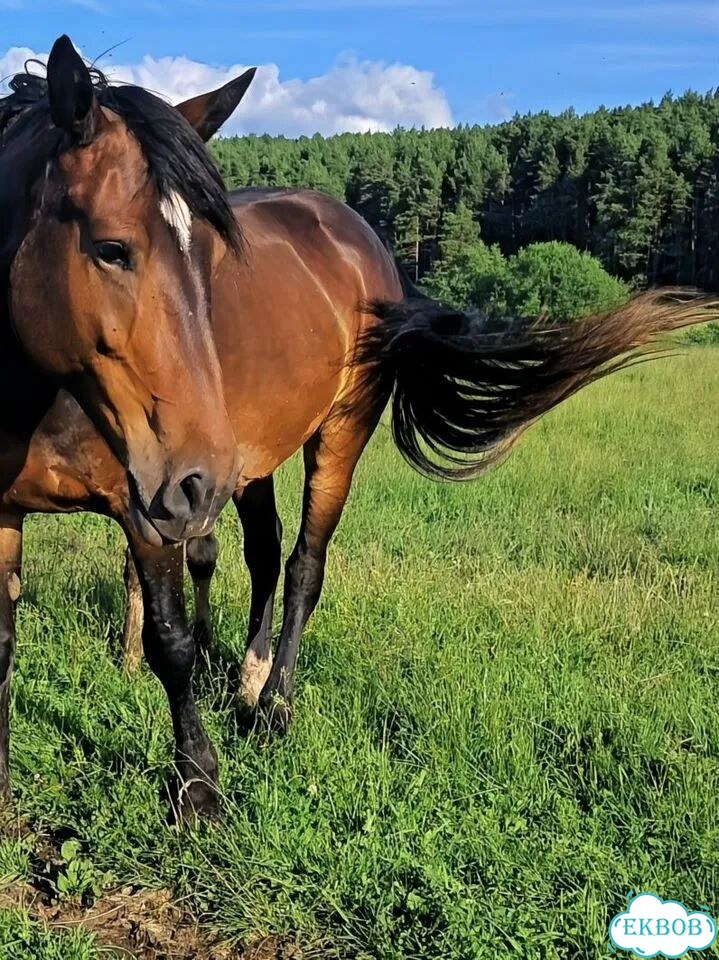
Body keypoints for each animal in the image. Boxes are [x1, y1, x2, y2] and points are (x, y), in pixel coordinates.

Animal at [3, 48, 718, 822]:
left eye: (214, 261)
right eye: (112, 249)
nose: (191, 478)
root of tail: (361, 237)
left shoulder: (154, 509)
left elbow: (174, 642)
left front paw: (199, 789)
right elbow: (8, 646)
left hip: (329, 439)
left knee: (303, 566)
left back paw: (272, 708)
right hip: (248, 457)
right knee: (263, 553)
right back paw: (250, 676)